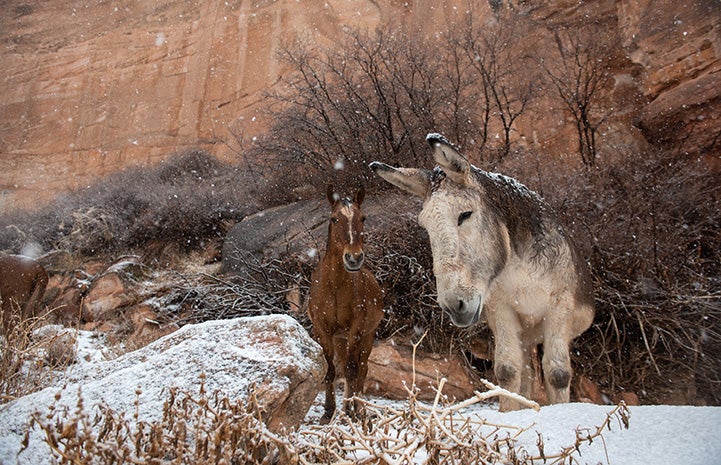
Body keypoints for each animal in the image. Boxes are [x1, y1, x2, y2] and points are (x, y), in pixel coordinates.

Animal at [307, 185, 384, 422]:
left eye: (363, 217)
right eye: (334, 219)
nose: (354, 258)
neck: (334, 286)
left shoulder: (356, 329)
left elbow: (352, 370)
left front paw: (353, 411)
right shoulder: (322, 330)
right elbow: (330, 370)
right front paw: (328, 411)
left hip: (367, 337)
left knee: (361, 368)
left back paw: (358, 408)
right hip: (340, 339)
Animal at [370, 133, 595, 411]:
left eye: (465, 214)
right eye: (425, 226)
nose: (454, 305)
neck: (521, 273)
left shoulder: (559, 308)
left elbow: (558, 374)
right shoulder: (502, 308)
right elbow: (507, 370)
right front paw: (510, 413)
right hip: (524, 335)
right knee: (527, 373)